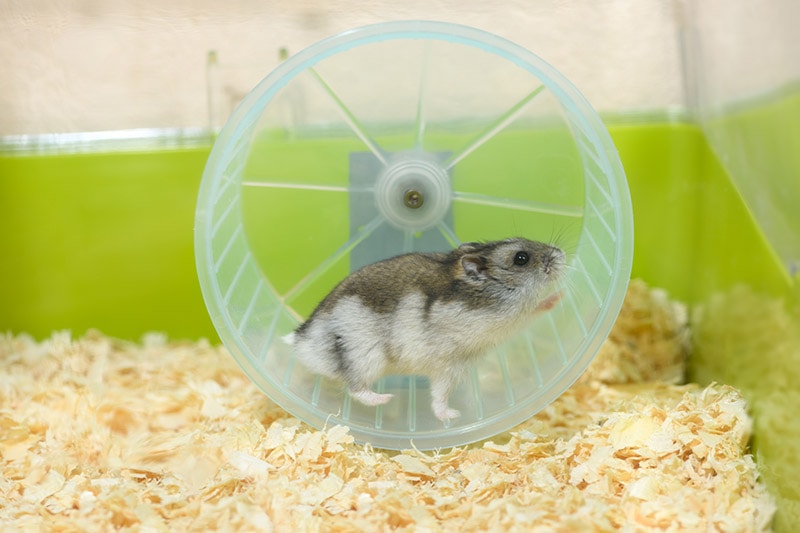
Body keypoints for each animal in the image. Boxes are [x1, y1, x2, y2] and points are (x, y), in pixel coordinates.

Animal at [283, 237, 566, 422]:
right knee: (355, 388)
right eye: (521, 258)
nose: (562, 253)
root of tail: (303, 339)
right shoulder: (452, 363)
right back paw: (386, 399)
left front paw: (559, 296)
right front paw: (453, 415)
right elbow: (439, 397)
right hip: (364, 358)